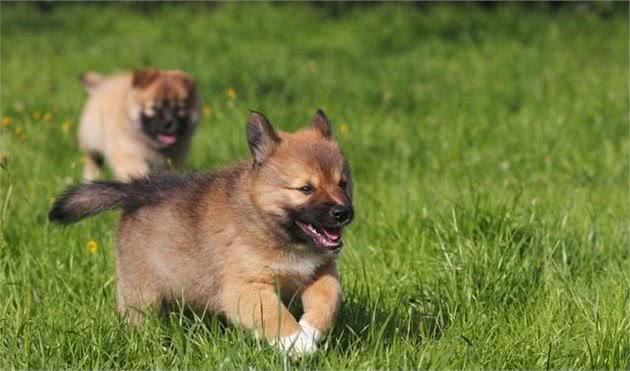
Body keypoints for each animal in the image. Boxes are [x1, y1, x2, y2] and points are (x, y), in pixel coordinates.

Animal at [50, 110, 356, 358]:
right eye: (305, 188)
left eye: (342, 183)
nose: (343, 213)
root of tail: (136, 191)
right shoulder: (245, 287)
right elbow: (274, 315)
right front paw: (296, 342)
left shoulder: (320, 272)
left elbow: (329, 300)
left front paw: (310, 331)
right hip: (141, 292)